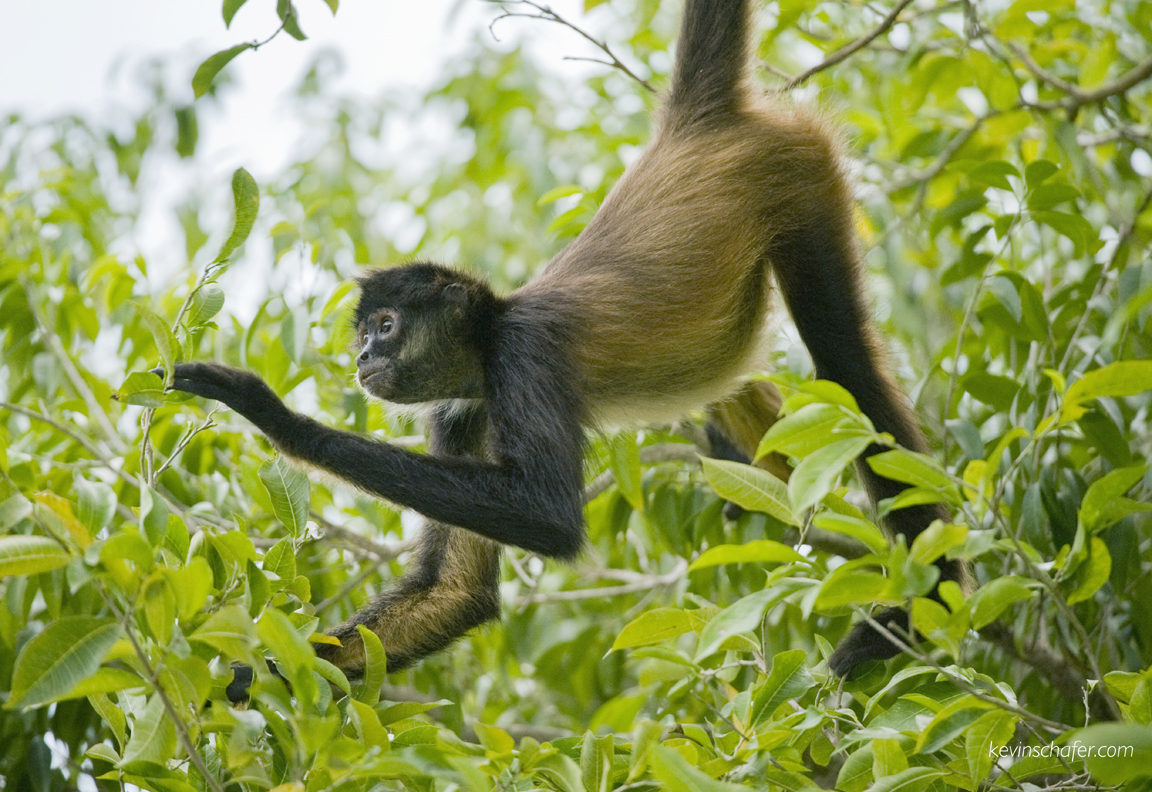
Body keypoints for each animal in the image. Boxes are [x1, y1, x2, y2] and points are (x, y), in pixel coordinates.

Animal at [157, 0, 958, 695]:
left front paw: (271, 415)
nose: (361, 360)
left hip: (797, 176)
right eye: (361, 333)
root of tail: (693, 128)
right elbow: (456, 592)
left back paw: (922, 610)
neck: (487, 341)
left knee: (847, 372)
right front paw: (224, 687)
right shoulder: (462, 408)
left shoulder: (523, 353)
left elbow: (547, 516)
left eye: (384, 326)